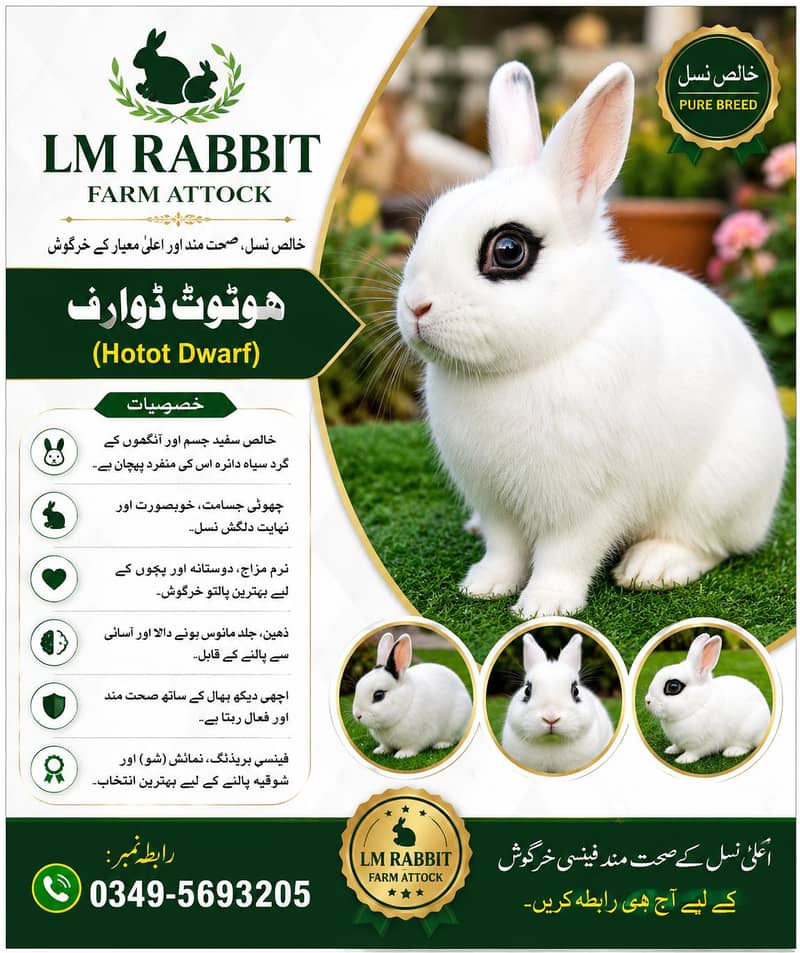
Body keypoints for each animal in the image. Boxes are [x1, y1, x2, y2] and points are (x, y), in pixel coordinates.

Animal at [395, 60, 786, 620]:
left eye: (508, 250)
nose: (416, 308)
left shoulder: (585, 506)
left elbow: (565, 556)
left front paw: (542, 608)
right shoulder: (495, 503)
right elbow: (504, 549)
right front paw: (483, 587)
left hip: (718, 491)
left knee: (708, 543)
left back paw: (652, 567)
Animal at [644, 633, 770, 764]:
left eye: (673, 687)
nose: (647, 701)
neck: (698, 706)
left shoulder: (702, 743)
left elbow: (694, 752)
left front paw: (683, 759)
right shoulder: (679, 741)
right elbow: (677, 746)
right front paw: (671, 750)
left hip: (748, 732)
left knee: (746, 745)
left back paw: (732, 751)